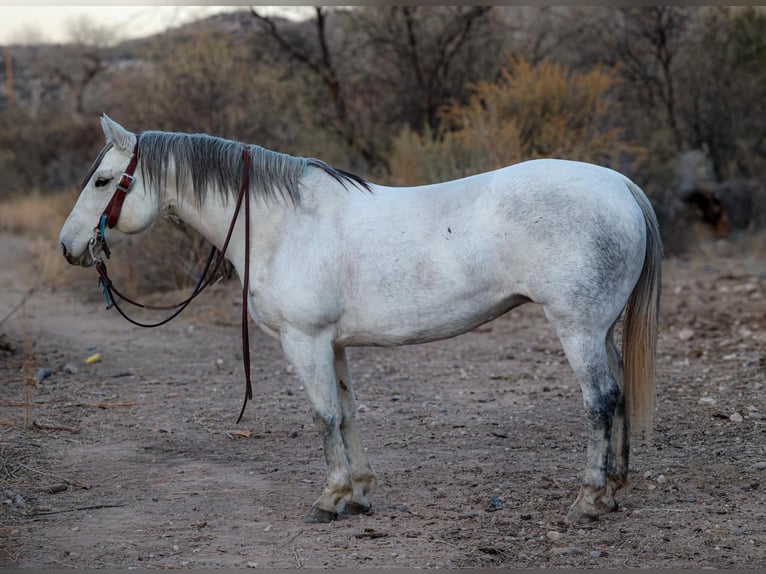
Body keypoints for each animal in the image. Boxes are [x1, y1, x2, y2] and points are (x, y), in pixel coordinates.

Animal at [60, 117, 664, 528]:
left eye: (104, 181)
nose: (68, 246)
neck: (284, 223)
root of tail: (620, 185)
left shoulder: (304, 342)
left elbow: (323, 416)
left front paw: (329, 499)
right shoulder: (333, 345)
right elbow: (347, 414)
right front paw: (359, 494)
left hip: (577, 328)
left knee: (600, 400)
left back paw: (588, 500)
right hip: (600, 329)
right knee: (619, 394)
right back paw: (614, 491)